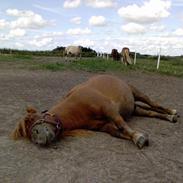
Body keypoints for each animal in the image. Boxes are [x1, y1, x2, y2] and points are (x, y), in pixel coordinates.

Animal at [10, 74, 178, 149]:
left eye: (33, 119)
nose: (38, 140)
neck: (76, 105)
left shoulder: (109, 110)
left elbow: (122, 126)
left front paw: (138, 137)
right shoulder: (103, 126)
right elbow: (117, 132)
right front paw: (139, 138)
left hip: (137, 93)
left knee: (154, 104)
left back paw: (172, 112)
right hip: (134, 109)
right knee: (151, 112)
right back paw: (170, 117)